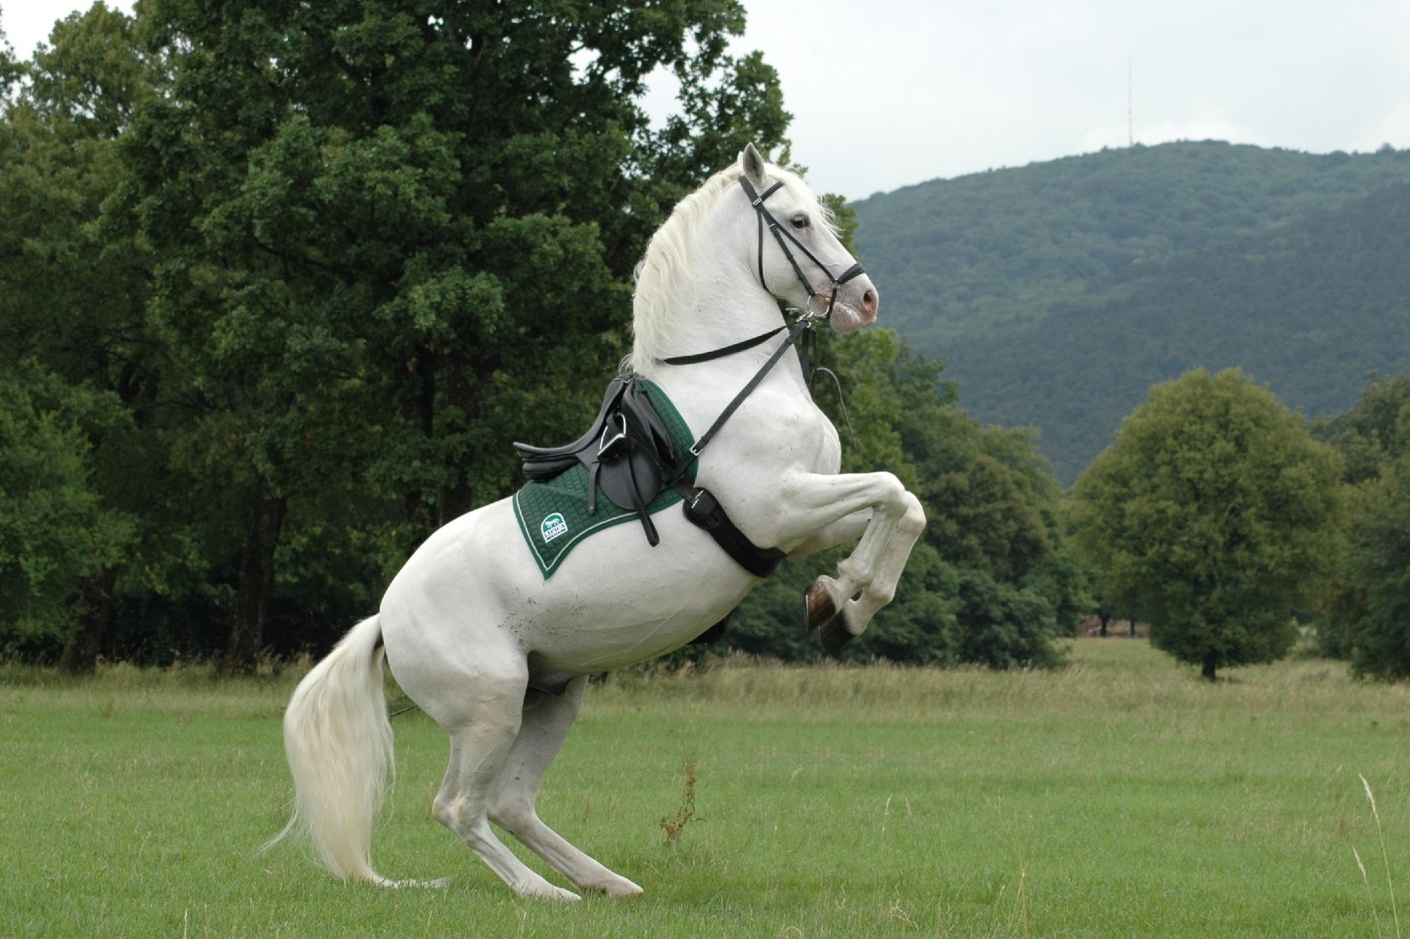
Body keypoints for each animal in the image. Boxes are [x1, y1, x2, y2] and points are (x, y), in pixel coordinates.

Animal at [271, 144, 926, 901]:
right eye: (797, 221)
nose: (864, 299)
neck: (723, 386)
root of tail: (385, 616)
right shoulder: (782, 509)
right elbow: (896, 495)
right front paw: (846, 602)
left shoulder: (805, 523)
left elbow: (900, 507)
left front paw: (840, 598)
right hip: (492, 706)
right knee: (459, 808)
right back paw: (544, 893)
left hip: (553, 695)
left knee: (510, 803)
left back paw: (607, 882)